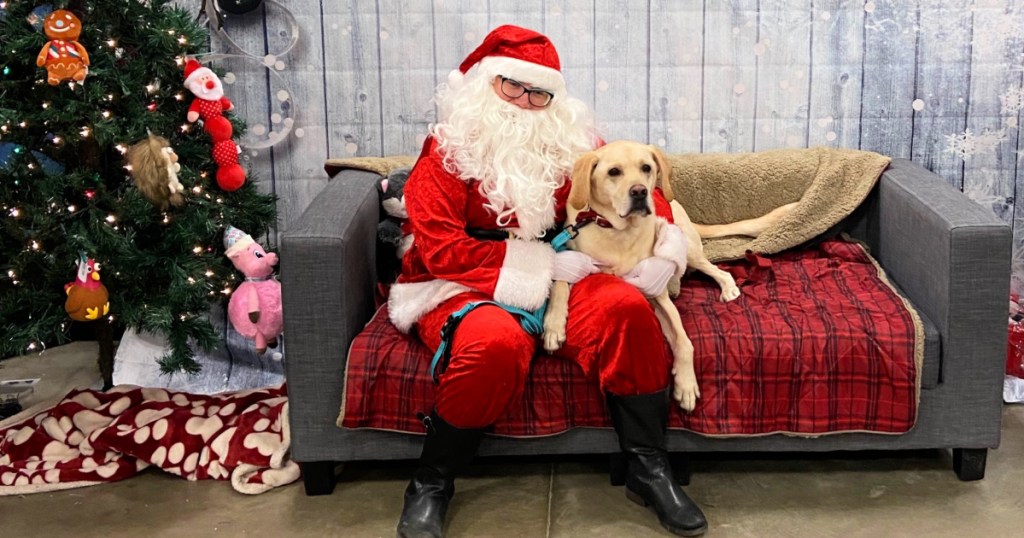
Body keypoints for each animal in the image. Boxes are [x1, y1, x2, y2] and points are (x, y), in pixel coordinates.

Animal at [544, 140, 790, 409]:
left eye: (646, 168)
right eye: (613, 172)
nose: (640, 192)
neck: (619, 232)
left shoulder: (657, 294)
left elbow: (684, 340)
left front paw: (686, 384)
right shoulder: (574, 260)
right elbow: (559, 286)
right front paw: (553, 327)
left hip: (688, 248)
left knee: (718, 271)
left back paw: (727, 287)